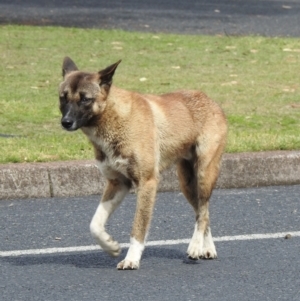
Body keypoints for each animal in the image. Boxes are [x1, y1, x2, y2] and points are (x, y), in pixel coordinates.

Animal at [59, 56, 227, 270]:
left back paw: (196, 247)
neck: (116, 119)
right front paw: (110, 246)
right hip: (187, 183)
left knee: (203, 213)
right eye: (63, 97)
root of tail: (210, 100)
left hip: (204, 174)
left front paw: (131, 259)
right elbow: (95, 224)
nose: (65, 122)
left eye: (85, 99)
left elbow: (138, 228)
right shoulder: (118, 183)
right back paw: (208, 248)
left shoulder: (147, 183)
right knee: (202, 213)